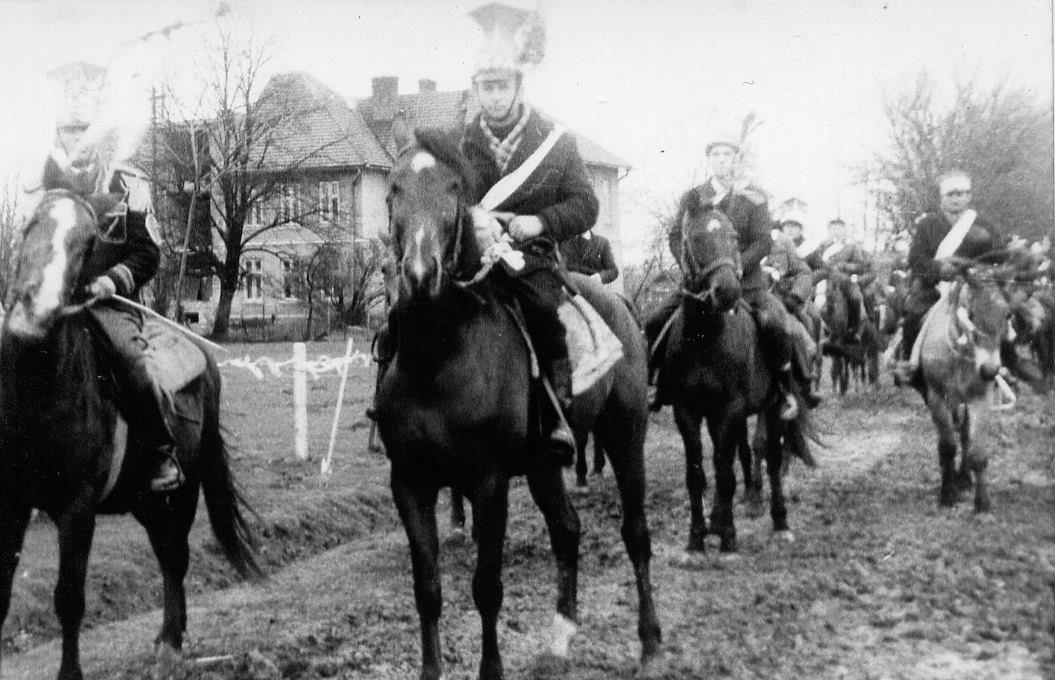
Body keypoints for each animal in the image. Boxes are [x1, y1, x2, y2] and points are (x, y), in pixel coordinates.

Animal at [0, 186, 261, 678]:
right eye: (29, 226)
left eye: (88, 243)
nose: (33, 316)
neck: (41, 389)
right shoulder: (13, 503)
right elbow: (1, 594)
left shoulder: (77, 509)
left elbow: (69, 599)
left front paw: (70, 673)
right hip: (147, 501)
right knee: (165, 554)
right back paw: (167, 636)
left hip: (183, 490)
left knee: (176, 557)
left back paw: (172, 641)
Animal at [375, 128, 658, 678]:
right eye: (394, 186)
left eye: (455, 187)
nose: (420, 273)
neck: (438, 358)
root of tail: (619, 301)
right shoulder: (410, 483)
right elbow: (428, 590)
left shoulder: (489, 484)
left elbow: (486, 588)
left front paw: (491, 669)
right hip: (545, 464)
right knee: (567, 529)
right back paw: (562, 634)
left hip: (625, 437)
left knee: (635, 532)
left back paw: (650, 639)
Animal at [658, 207, 814, 556]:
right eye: (696, 238)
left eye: (733, 237)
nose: (728, 291)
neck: (703, 337)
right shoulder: (686, 412)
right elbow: (697, 473)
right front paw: (697, 538)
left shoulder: (728, 410)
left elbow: (726, 472)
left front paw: (727, 535)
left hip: (772, 406)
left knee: (771, 459)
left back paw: (779, 522)